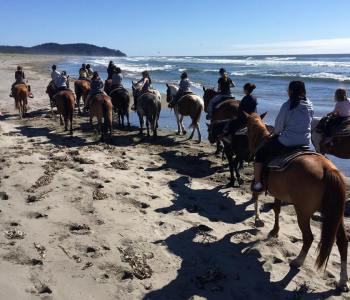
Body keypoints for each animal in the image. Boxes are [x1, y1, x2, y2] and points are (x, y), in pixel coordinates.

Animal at [245, 112, 348, 290]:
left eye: (248, 128)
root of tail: (328, 168)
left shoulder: (260, 185)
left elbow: (257, 197)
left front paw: (258, 220)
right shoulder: (279, 193)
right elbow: (277, 209)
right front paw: (275, 231)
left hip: (303, 212)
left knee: (308, 238)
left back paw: (298, 261)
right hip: (336, 215)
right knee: (342, 242)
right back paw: (342, 280)